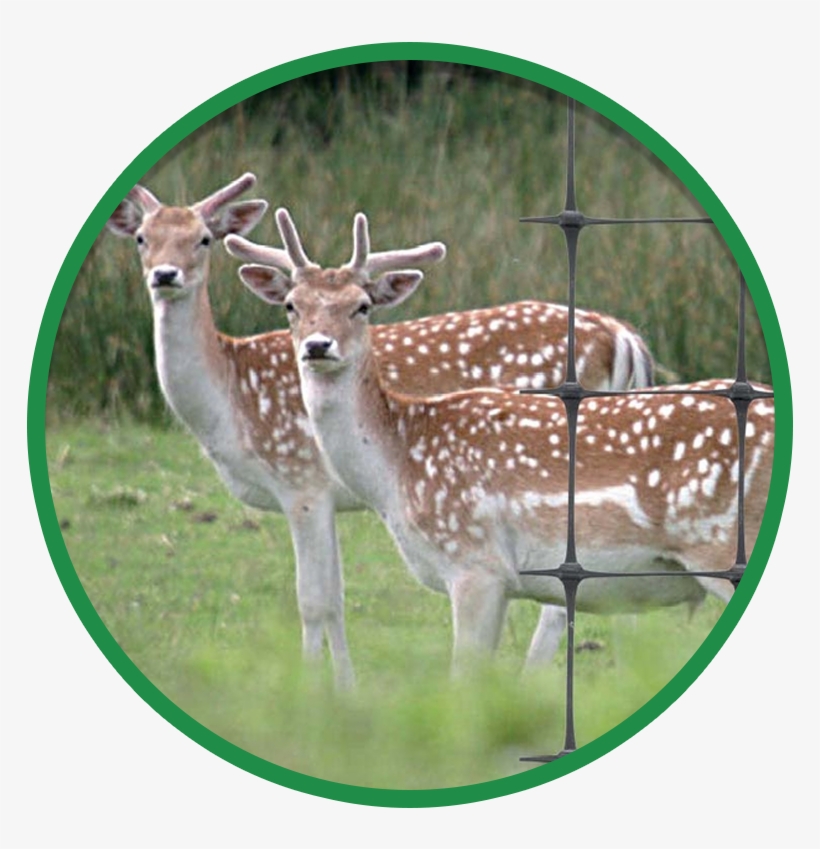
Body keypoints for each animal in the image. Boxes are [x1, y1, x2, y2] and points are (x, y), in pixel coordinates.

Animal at [105, 173, 656, 686]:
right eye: (142, 238)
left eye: (203, 238)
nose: (165, 275)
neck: (228, 405)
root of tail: (623, 336)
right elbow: (335, 596)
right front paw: (343, 687)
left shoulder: (300, 480)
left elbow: (315, 600)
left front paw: (317, 689)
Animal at [237, 207, 774, 670]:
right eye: (292, 306)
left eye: (362, 306)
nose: (317, 346)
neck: (397, 471)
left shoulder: (476, 564)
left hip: (722, 547)